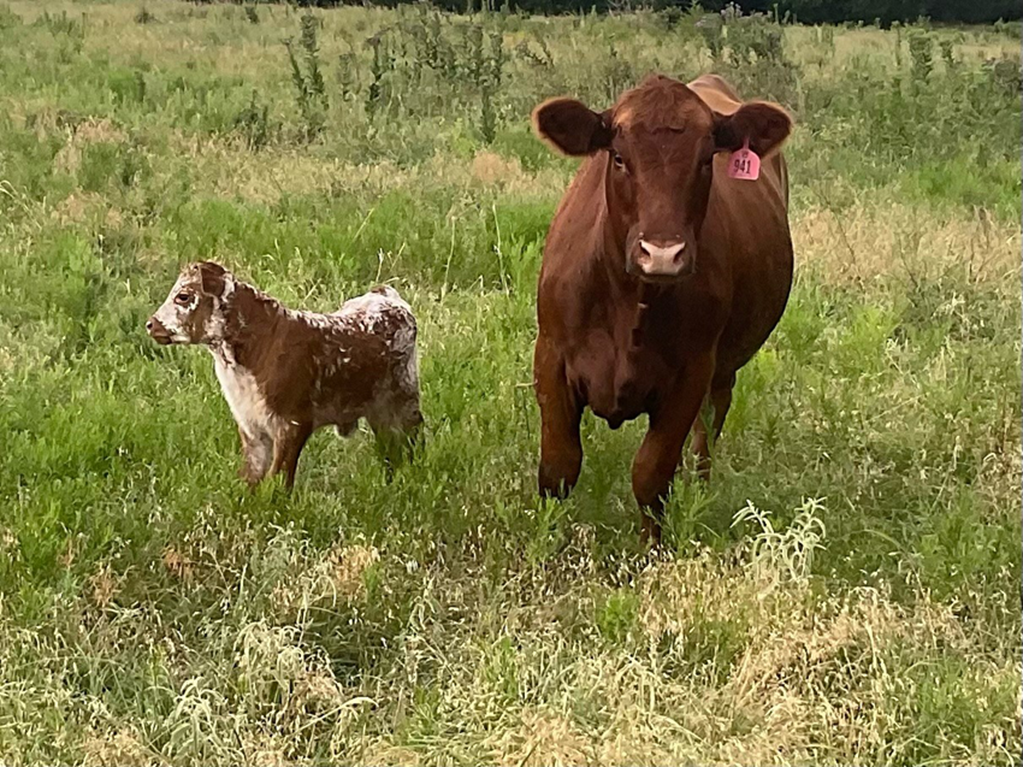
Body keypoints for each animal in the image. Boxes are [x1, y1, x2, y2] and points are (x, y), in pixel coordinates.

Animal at [147, 261, 423, 488]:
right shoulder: (250, 427)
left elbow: (278, 480)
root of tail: (385, 295)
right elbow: (252, 476)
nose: (151, 324)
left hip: (403, 402)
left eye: (183, 296)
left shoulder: (292, 423)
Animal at [531, 70, 793, 539]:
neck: (629, 302)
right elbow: (559, 469)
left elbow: (651, 476)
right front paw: (547, 542)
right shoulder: (551, 357)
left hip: (722, 370)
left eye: (707, 159)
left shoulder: (692, 372)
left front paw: (652, 550)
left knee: (708, 428)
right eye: (618, 157)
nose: (662, 254)